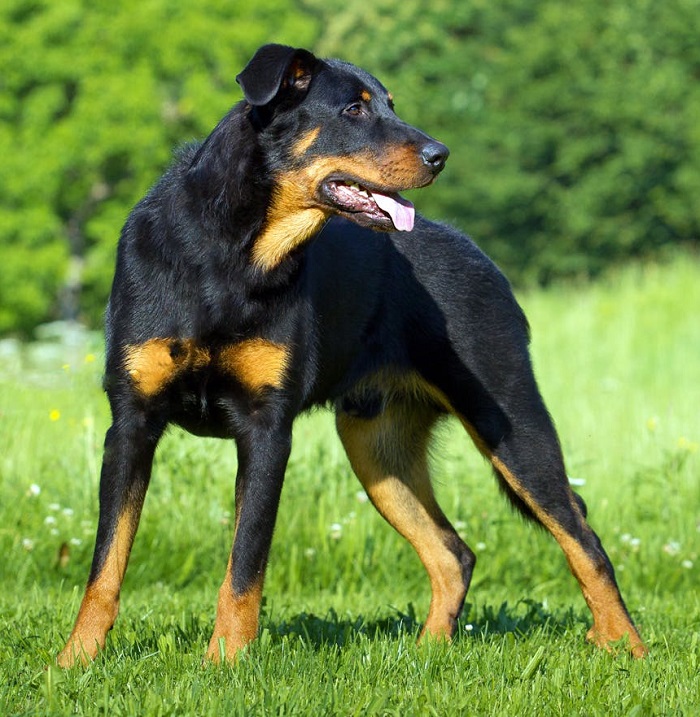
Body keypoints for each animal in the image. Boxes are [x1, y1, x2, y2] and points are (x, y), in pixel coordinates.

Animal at [58, 44, 646, 666]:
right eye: (354, 110)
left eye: (390, 105)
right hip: (377, 446)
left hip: (509, 420)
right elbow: (107, 564)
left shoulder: (267, 430)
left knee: (583, 536)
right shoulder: (132, 422)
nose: (440, 155)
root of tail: (484, 259)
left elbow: (244, 568)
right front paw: (76, 661)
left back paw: (627, 648)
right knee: (454, 552)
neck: (232, 252)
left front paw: (226, 663)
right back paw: (426, 653)